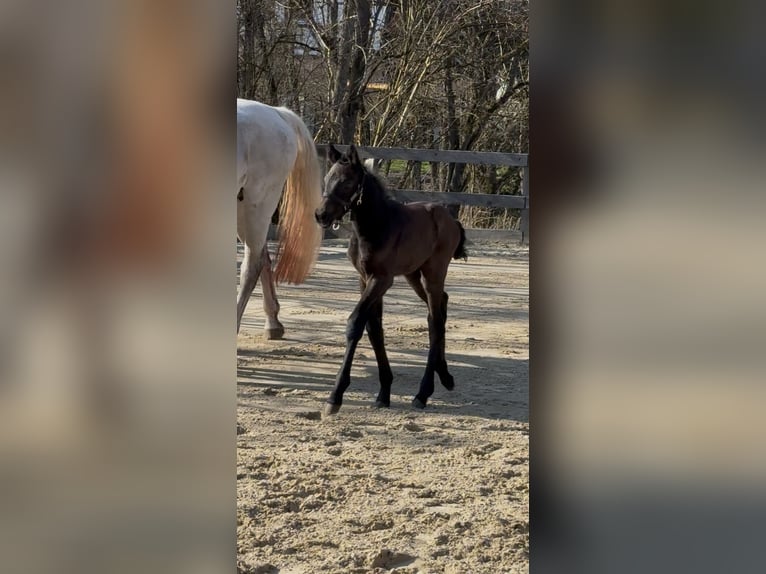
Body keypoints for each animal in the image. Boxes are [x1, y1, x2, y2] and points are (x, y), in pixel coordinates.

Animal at [315, 144, 467, 415]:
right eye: (327, 179)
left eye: (346, 182)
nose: (321, 215)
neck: (375, 225)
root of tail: (451, 219)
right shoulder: (365, 279)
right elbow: (374, 329)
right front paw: (383, 393)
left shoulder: (381, 280)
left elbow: (355, 324)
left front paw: (335, 397)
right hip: (412, 274)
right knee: (442, 305)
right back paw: (445, 375)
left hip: (433, 273)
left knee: (435, 321)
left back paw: (423, 393)